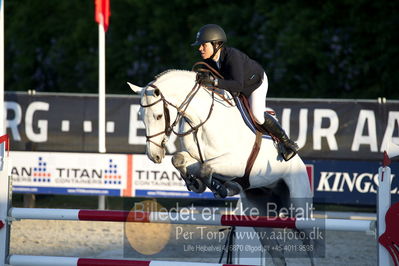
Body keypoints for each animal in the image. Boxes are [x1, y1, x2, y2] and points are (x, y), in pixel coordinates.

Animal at [130, 69, 318, 264]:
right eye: (140, 117)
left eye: (158, 116)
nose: (154, 155)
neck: (201, 122)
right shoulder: (196, 158)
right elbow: (180, 159)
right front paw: (197, 183)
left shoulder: (237, 164)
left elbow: (205, 168)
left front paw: (219, 187)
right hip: (259, 216)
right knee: (277, 254)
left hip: (299, 208)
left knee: (310, 243)